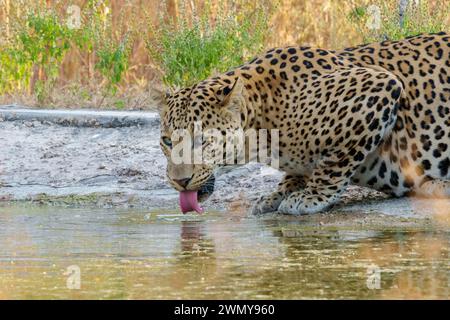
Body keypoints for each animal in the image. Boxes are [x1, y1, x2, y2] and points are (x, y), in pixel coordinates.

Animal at [156, 32, 450, 215]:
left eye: (203, 139)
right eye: (168, 141)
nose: (180, 181)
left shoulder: (381, 85)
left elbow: (333, 163)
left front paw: (310, 196)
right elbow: (296, 173)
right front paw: (276, 195)